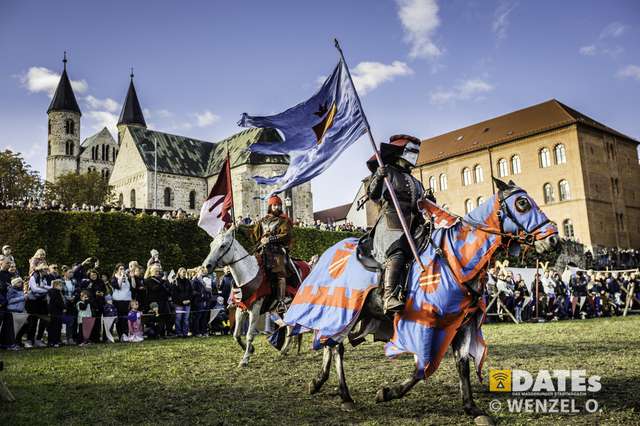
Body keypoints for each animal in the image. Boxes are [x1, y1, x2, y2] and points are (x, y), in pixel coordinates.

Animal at [202, 228, 308, 368]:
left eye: (223, 246)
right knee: (290, 327)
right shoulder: (240, 309)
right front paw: (250, 349)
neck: (248, 275)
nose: (206, 267)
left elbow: (249, 335)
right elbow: (236, 335)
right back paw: (284, 350)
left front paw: (245, 359)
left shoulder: (255, 310)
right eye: (211, 245)